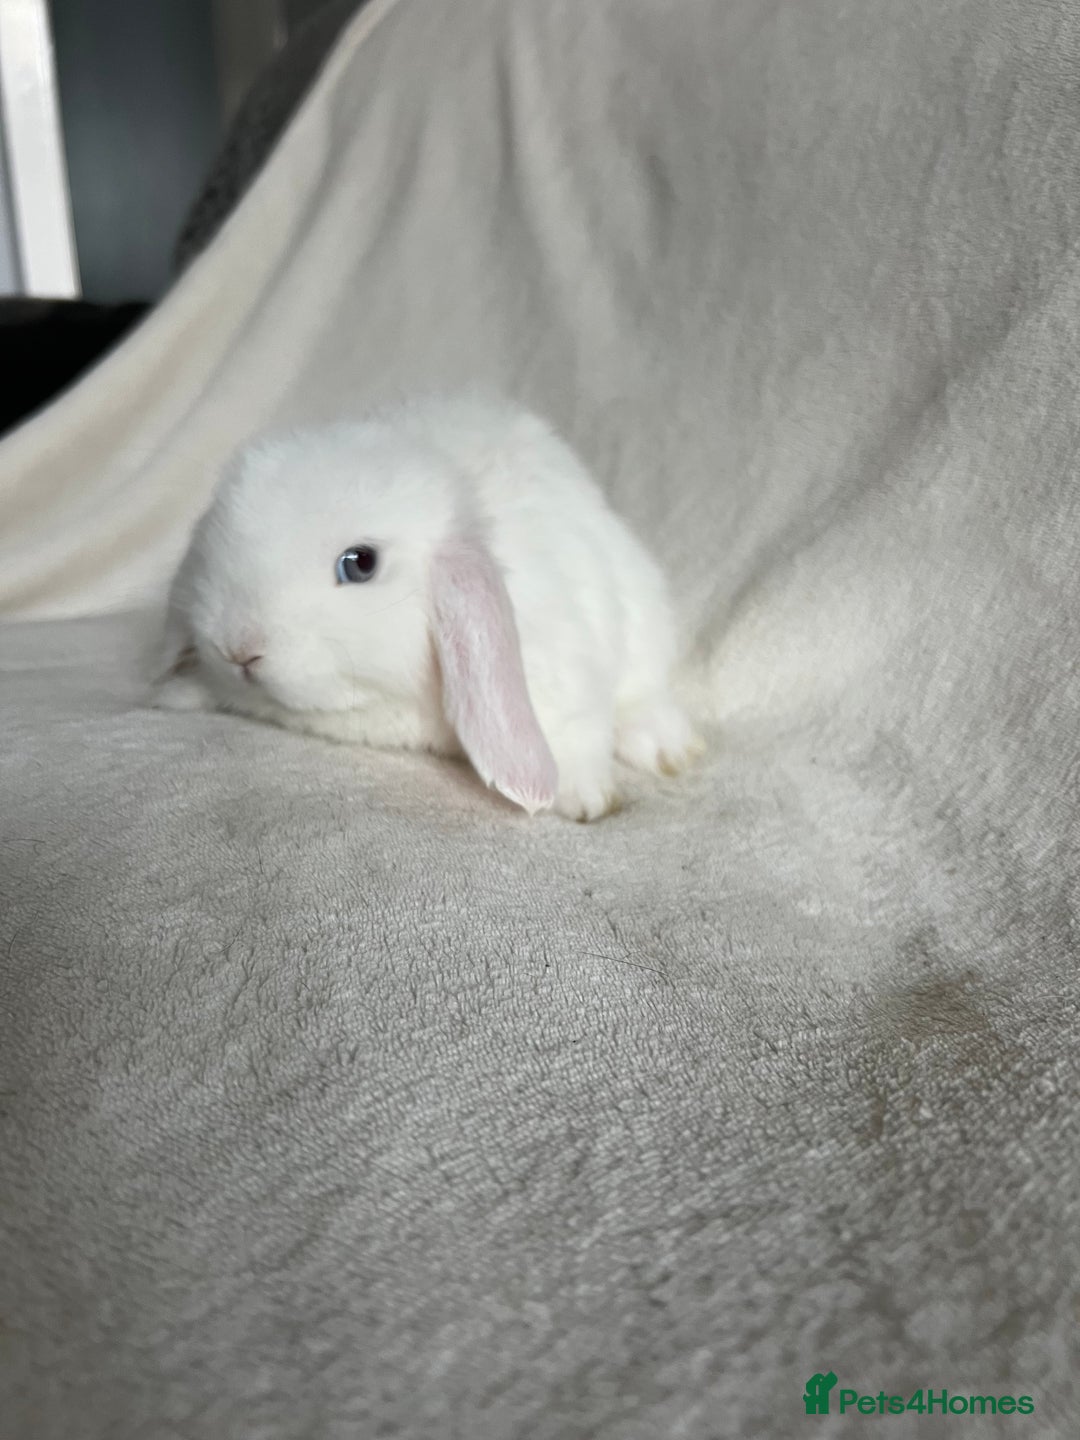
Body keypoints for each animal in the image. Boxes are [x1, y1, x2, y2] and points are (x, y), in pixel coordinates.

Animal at [152, 396, 701, 820]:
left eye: (360, 564)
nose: (238, 648)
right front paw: (180, 693)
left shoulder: (561, 665)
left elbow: (572, 728)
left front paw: (585, 799)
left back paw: (670, 749)